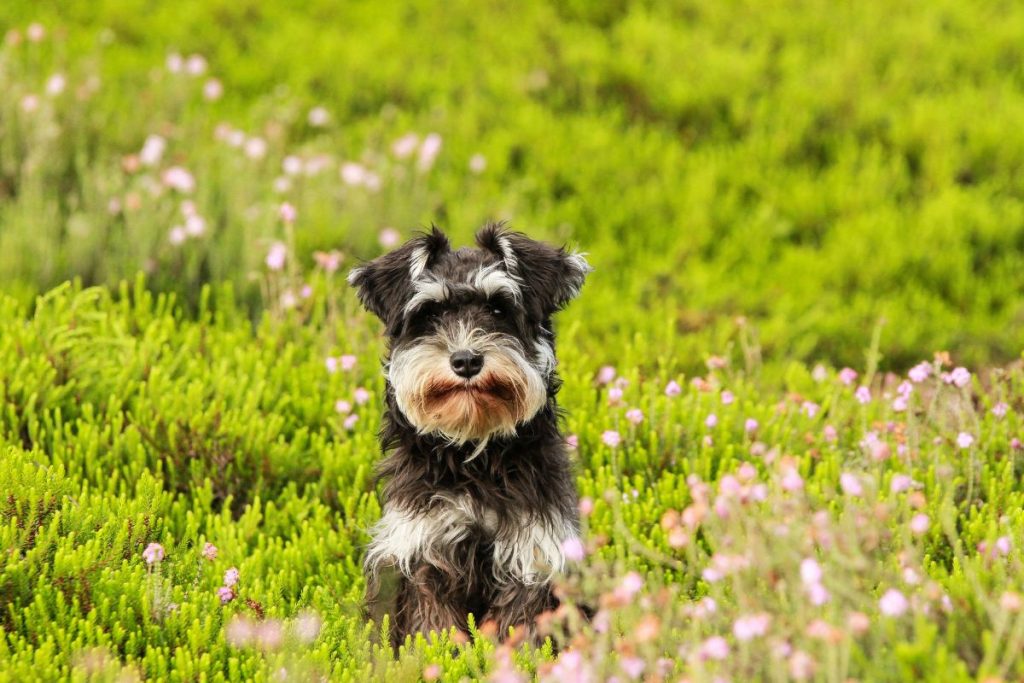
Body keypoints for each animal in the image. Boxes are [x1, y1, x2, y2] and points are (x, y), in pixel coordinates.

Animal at [346, 225, 593, 647]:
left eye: (498, 308)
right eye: (430, 313)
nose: (465, 360)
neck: (475, 453)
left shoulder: (531, 556)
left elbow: (518, 629)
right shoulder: (424, 554)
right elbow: (434, 630)